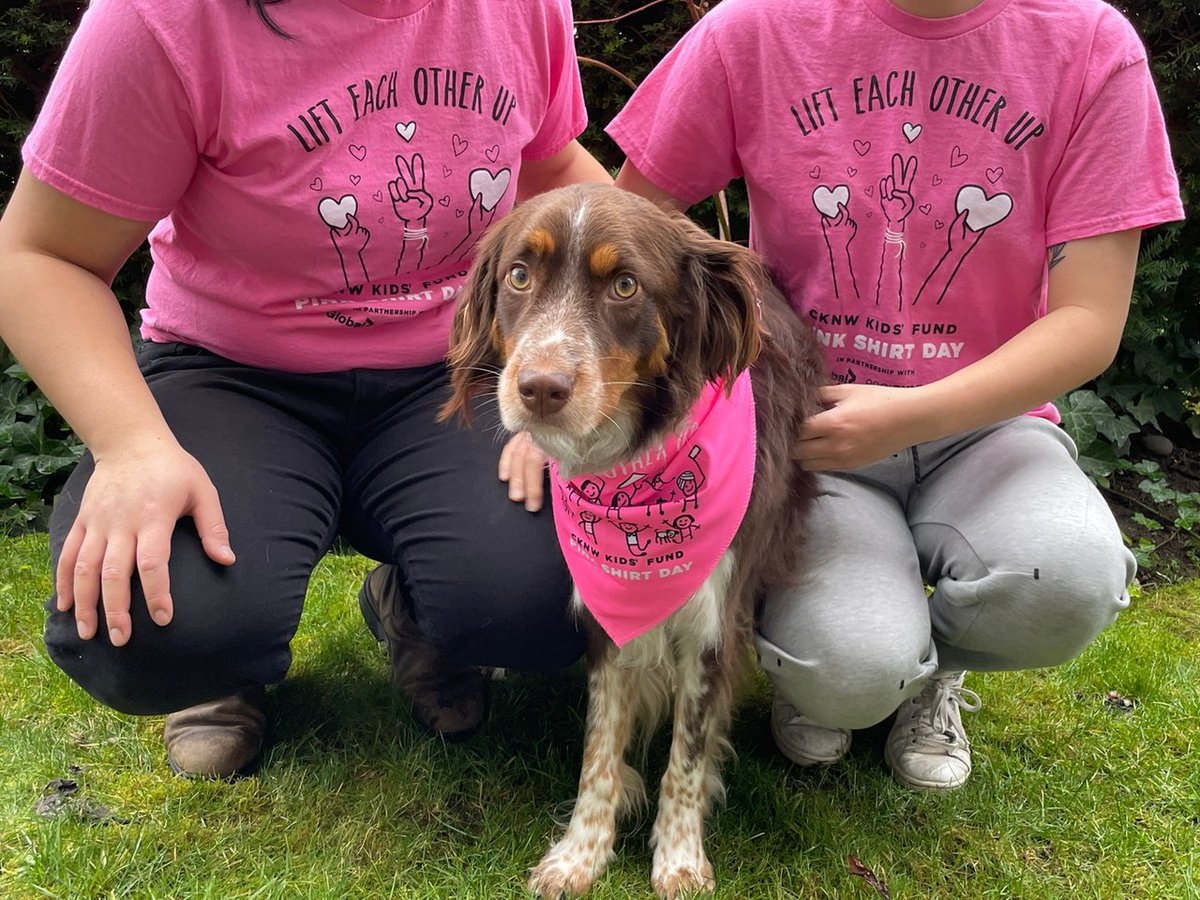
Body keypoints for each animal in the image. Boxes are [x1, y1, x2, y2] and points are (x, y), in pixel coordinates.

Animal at [441, 184, 825, 900]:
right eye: (519, 275)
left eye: (625, 285)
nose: (539, 390)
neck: (634, 467)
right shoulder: (604, 607)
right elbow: (600, 742)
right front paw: (580, 854)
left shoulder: (714, 618)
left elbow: (687, 753)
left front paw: (679, 859)